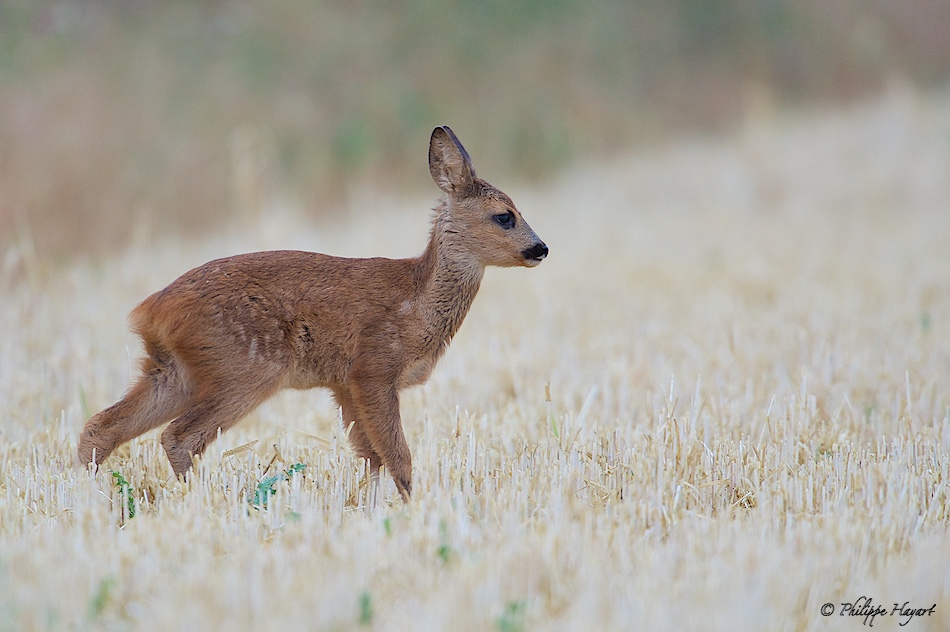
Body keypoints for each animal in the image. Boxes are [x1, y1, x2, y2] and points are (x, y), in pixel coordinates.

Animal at [80, 126, 552, 498]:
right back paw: (203, 501)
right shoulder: (373, 368)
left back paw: (83, 494)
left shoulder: (343, 383)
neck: (418, 302)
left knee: (102, 426)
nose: (541, 248)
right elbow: (397, 456)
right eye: (504, 216)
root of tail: (152, 311)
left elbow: (370, 456)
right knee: (178, 437)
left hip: (173, 370)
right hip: (244, 368)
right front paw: (413, 509)